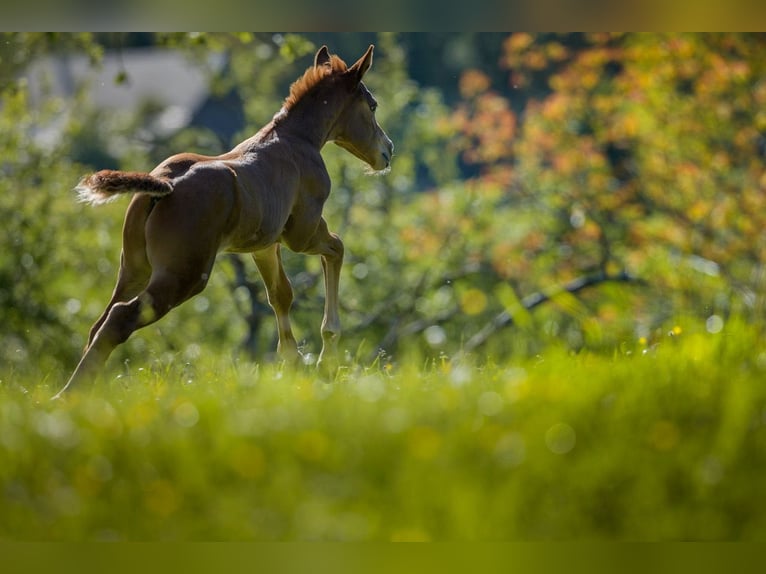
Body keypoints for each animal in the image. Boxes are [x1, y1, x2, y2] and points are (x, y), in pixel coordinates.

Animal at [52, 44, 396, 400]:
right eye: (372, 105)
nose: (388, 150)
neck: (298, 139)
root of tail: (164, 185)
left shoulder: (263, 246)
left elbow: (280, 294)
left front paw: (293, 363)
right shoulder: (302, 234)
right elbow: (337, 248)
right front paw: (326, 356)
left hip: (134, 268)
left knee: (99, 322)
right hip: (185, 275)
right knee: (120, 317)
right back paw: (68, 393)